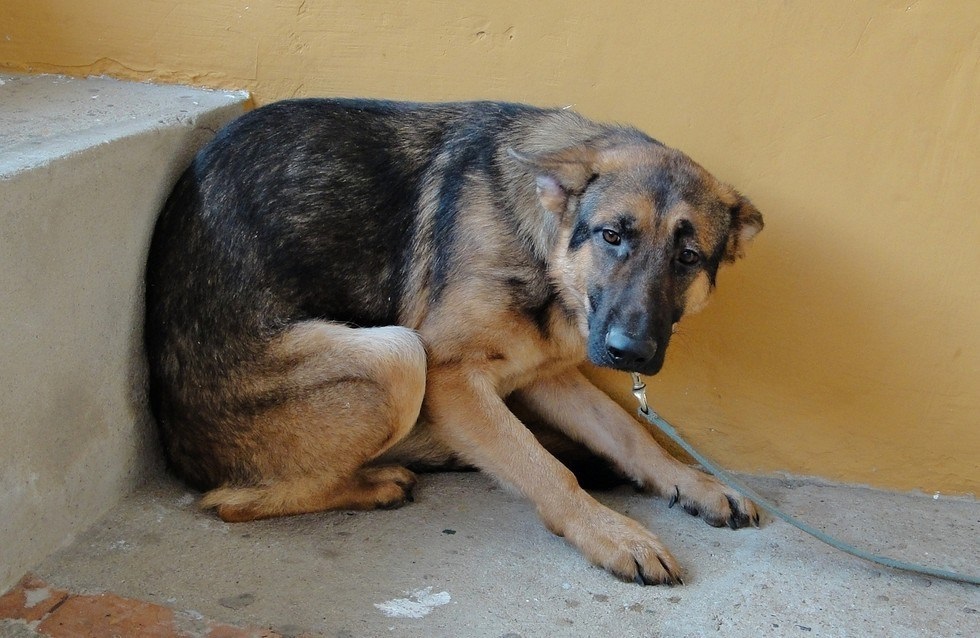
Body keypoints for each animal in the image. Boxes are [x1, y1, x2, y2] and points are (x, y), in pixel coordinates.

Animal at [144, 99, 764, 584]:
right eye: (612, 235)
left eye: (689, 257)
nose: (628, 353)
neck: (543, 245)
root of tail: (177, 442)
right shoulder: (450, 377)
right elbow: (543, 466)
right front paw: (611, 531)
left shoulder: (543, 374)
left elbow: (628, 432)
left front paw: (691, 481)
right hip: (396, 354)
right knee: (229, 503)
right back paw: (377, 484)